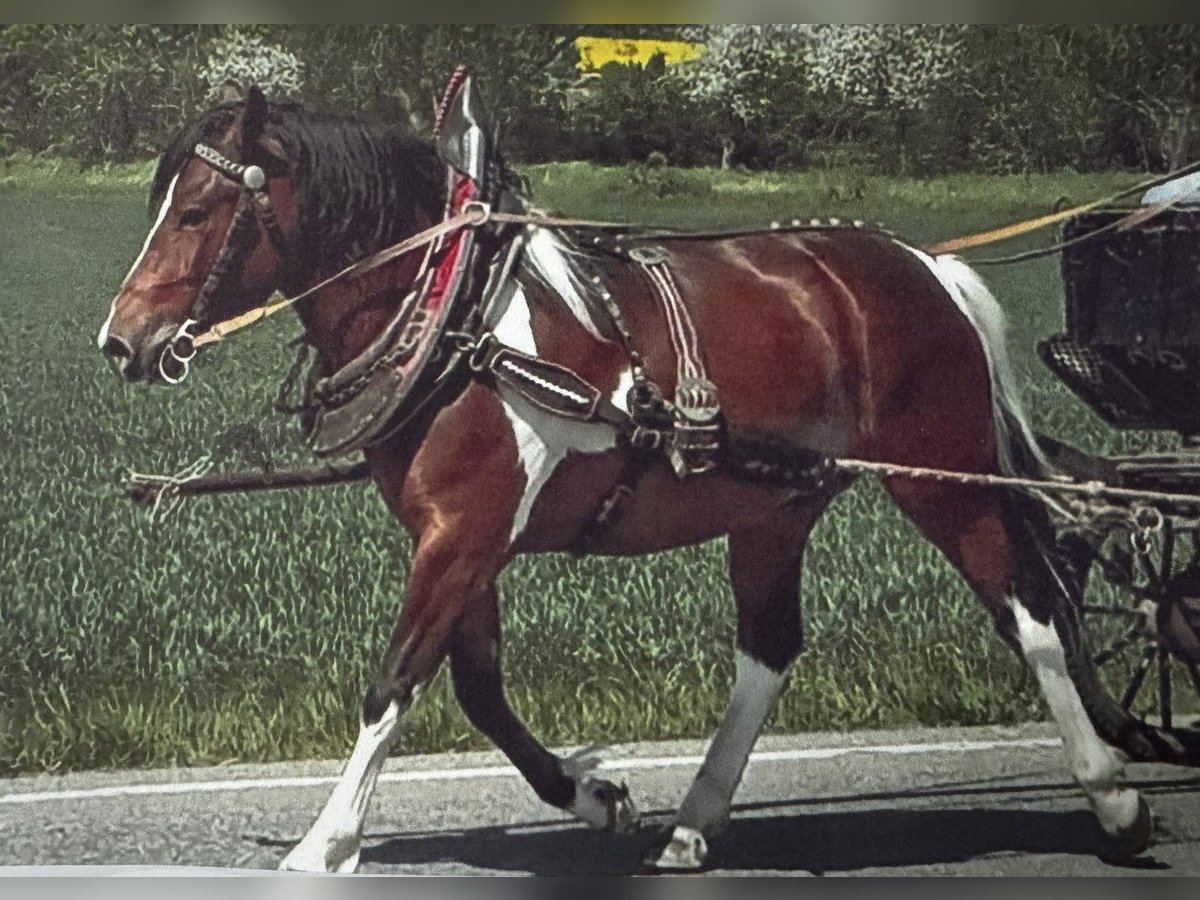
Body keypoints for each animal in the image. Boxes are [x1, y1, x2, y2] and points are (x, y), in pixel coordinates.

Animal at [97, 83, 1161, 873]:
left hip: (943, 475)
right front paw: (594, 796)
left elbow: (395, 679)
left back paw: (1114, 799)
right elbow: (477, 688)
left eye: (197, 210)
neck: (459, 317)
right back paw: (694, 822)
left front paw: (327, 843)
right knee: (770, 646)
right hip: (776, 503)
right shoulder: (466, 533)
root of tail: (928, 266)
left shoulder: (466, 530)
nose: (121, 340)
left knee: (1029, 611)